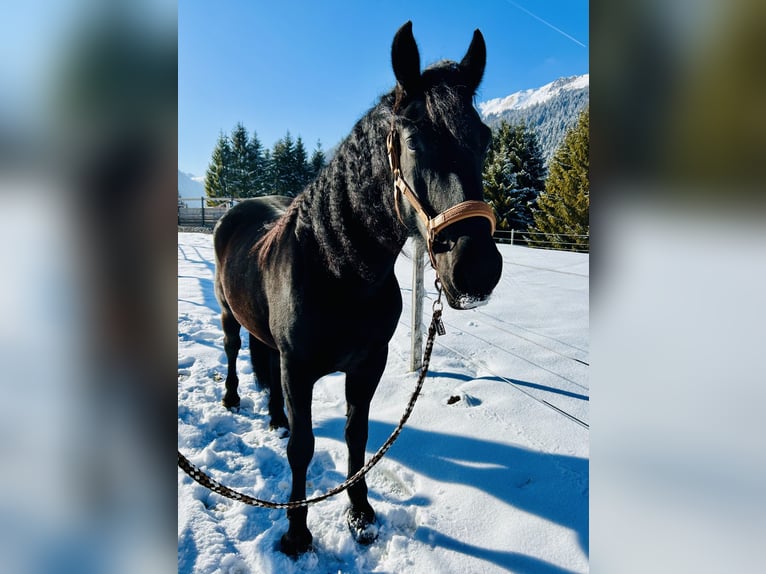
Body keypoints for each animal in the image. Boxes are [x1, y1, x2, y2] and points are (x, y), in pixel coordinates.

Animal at [214, 22, 504, 560]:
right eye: (413, 140)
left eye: (485, 139)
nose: (477, 269)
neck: (337, 270)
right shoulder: (299, 368)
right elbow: (303, 447)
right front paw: (296, 533)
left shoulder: (368, 365)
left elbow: (356, 435)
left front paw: (361, 514)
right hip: (228, 316)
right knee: (231, 350)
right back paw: (232, 399)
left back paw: (275, 417)